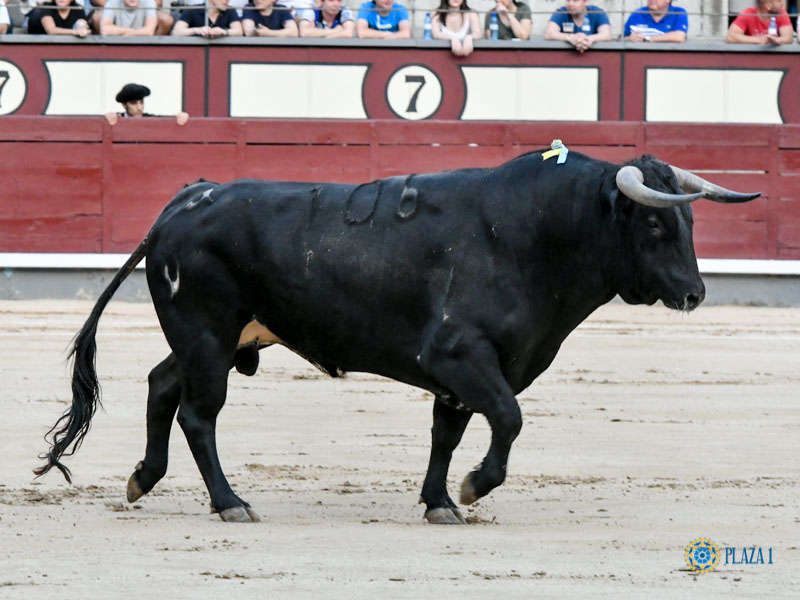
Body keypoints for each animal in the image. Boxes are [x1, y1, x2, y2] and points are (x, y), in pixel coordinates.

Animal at [37, 149, 760, 520]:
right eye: (656, 224)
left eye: (689, 223)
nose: (694, 293)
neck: (535, 232)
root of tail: (183, 202)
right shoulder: (462, 355)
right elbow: (508, 417)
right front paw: (473, 488)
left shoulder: (466, 371)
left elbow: (450, 431)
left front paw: (440, 501)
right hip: (209, 335)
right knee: (197, 413)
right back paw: (229, 502)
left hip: (216, 337)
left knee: (162, 385)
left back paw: (143, 479)